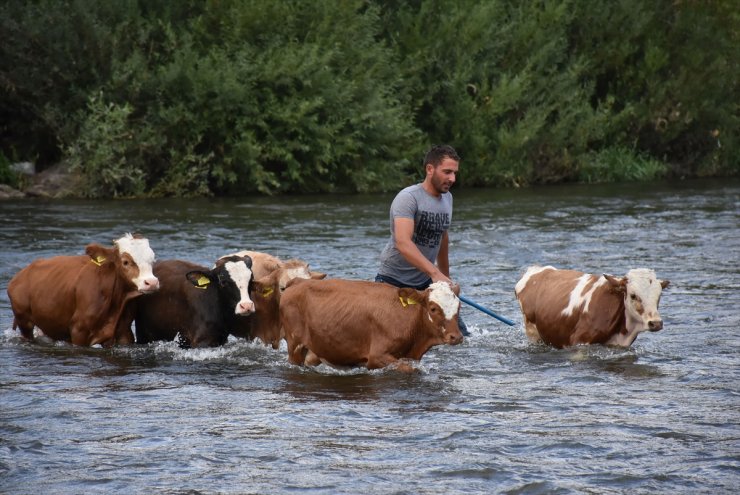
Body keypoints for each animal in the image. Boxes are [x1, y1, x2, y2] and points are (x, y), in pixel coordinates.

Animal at [7, 233, 160, 346]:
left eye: (152, 260)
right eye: (125, 262)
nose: (151, 282)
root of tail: (21, 275)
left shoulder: (124, 332)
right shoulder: (79, 330)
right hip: (24, 321)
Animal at [282, 280, 462, 372]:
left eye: (459, 307)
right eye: (433, 308)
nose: (456, 337)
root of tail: (298, 282)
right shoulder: (376, 356)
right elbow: (408, 369)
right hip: (295, 346)